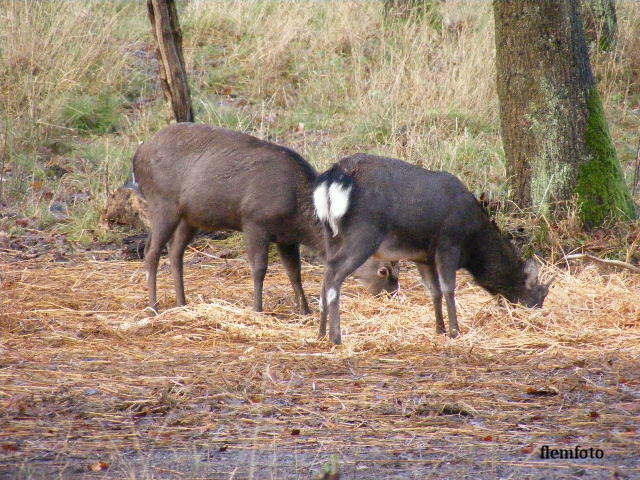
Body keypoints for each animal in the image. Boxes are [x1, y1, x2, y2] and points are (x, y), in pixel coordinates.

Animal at [132, 122, 398, 314]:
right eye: (383, 270)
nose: (393, 293)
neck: (298, 216)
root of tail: (136, 155)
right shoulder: (254, 222)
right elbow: (259, 268)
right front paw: (257, 309)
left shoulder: (287, 237)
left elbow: (294, 273)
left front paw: (305, 310)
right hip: (163, 203)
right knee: (151, 251)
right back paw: (153, 307)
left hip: (191, 217)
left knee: (175, 251)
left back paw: (182, 302)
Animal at [316, 154, 552, 344]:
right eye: (539, 294)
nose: (537, 315)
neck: (473, 240)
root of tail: (333, 178)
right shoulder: (448, 243)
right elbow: (448, 288)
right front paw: (455, 331)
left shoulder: (424, 257)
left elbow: (434, 291)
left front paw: (440, 330)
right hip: (365, 232)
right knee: (334, 276)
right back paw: (336, 337)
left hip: (330, 233)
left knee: (326, 274)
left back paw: (320, 334)